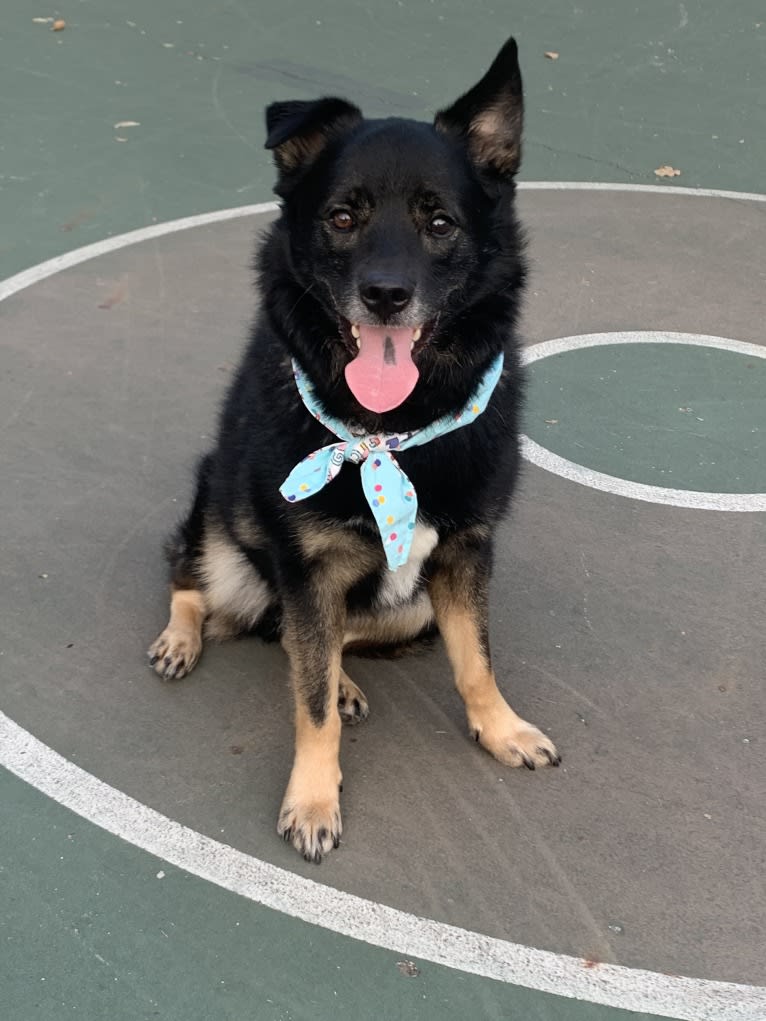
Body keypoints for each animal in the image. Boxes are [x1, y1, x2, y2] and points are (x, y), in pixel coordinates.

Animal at [148, 37, 559, 861]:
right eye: (341, 218)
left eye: (441, 223)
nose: (387, 295)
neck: (387, 434)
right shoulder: (308, 570)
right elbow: (307, 704)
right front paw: (313, 799)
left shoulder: (465, 555)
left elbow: (476, 661)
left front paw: (500, 728)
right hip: (221, 524)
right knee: (203, 582)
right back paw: (182, 637)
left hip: (410, 609)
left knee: (306, 635)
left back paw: (342, 676)